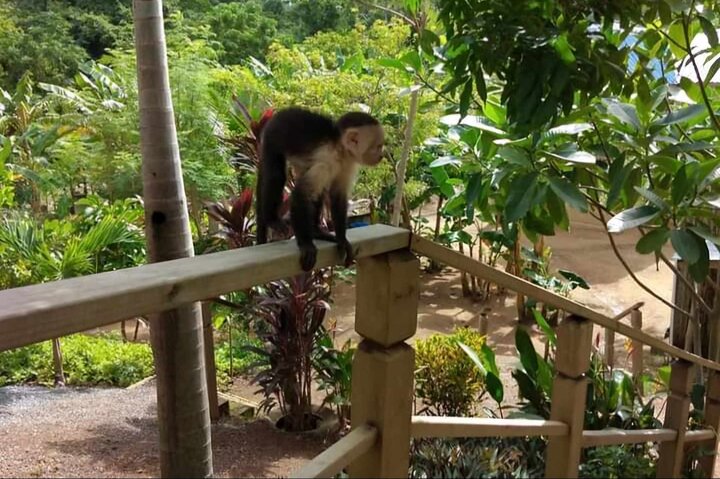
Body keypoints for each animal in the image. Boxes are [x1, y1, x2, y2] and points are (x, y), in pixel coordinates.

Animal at [254, 107, 385, 271]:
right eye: (378, 146)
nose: (381, 155)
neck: (340, 149)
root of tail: (281, 113)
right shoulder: (327, 159)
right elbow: (301, 194)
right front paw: (306, 244)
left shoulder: (348, 163)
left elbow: (338, 195)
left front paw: (342, 240)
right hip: (273, 137)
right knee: (276, 176)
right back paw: (272, 219)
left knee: (318, 190)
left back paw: (316, 232)